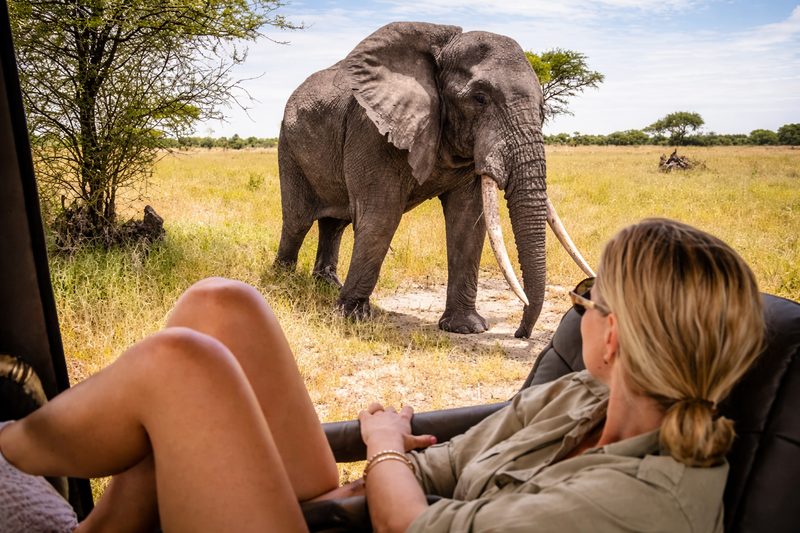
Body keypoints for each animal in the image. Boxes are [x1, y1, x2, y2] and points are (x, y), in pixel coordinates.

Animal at [275, 21, 592, 338]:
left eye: (543, 107)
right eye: (480, 98)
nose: (519, 333)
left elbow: (468, 221)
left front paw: (465, 328)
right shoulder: (370, 129)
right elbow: (381, 216)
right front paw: (351, 318)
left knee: (335, 224)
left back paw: (327, 285)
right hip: (288, 146)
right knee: (297, 221)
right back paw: (284, 281)